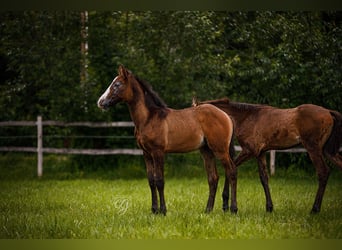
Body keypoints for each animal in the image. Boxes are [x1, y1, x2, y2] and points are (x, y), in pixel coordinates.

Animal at [97, 66, 238, 215]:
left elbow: (159, 180)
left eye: (117, 84)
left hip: (220, 150)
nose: (100, 102)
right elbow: (151, 180)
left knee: (232, 171)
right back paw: (208, 210)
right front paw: (154, 210)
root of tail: (226, 116)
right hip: (206, 151)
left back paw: (233, 209)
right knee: (213, 178)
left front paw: (163, 211)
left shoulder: (158, 152)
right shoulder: (146, 153)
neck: (148, 118)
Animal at [194, 97, 340, 213]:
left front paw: (225, 203)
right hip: (328, 152)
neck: (247, 117)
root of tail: (328, 112)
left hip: (313, 149)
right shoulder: (261, 153)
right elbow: (264, 178)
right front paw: (269, 207)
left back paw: (315, 209)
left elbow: (231, 169)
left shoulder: (250, 151)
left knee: (323, 172)